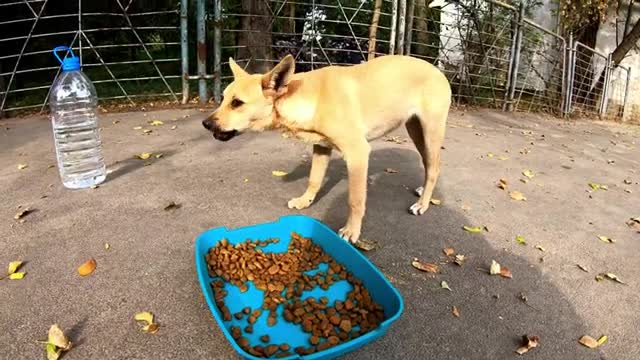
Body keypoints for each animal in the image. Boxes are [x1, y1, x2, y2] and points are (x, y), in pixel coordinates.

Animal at [202, 53, 452, 243]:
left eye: (237, 103)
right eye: (223, 98)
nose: (205, 124)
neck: (309, 97)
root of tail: (437, 70)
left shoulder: (358, 154)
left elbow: (355, 200)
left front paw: (351, 231)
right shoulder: (321, 147)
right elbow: (314, 180)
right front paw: (305, 201)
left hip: (430, 132)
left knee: (435, 167)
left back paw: (422, 204)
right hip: (416, 131)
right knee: (429, 165)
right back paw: (423, 192)